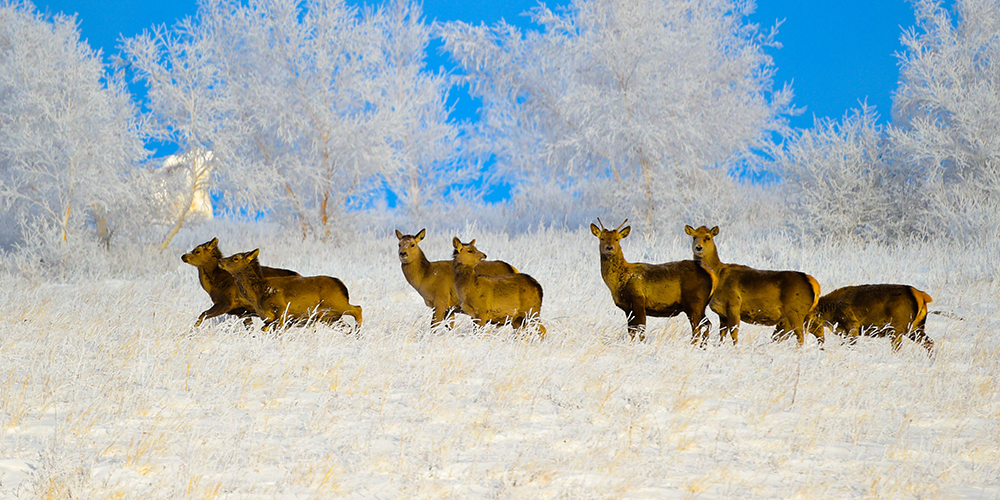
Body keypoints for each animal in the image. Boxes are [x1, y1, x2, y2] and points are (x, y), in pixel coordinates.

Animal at [219, 248, 364, 330]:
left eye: (235, 258)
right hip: (330, 317)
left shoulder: (282, 311)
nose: (220, 260)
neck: (259, 293)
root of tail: (343, 286)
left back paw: (358, 333)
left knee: (358, 309)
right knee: (347, 325)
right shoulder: (269, 319)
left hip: (335, 303)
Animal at [588, 220, 716, 344]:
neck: (618, 281)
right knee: (707, 325)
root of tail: (711, 273)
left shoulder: (638, 301)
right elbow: (631, 332)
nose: (609, 248)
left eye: (616, 239)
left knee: (697, 330)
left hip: (694, 302)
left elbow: (641, 330)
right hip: (700, 305)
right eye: (602, 238)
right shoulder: (628, 308)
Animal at [688, 226, 820, 346]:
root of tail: (814, 283)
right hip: (799, 316)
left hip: (795, 311)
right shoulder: (722, 313)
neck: (718, 275)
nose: (698, 247)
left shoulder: (734, 304)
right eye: (694, 237)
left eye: (708, 237)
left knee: (800, 337)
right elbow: (722, 335)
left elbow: (734, 334)